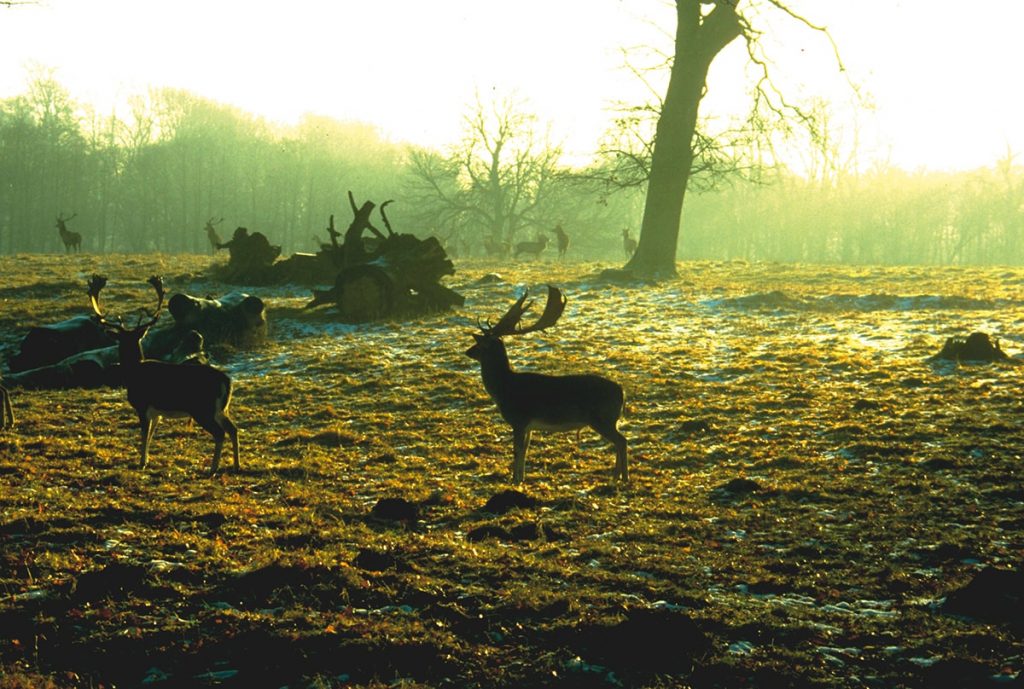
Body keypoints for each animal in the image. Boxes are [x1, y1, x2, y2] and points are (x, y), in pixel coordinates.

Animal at [88, 274, 239, 472]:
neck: (132, 372)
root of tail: (226, 381)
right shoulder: (156, 412)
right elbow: (151, 434)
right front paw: (147, 459)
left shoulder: (142, 404)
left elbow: (144, 433)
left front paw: (142, 462)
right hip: (220, 409)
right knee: (233, 429)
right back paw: (236, 465)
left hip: (202, 408)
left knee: (220, 433)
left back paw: (213, 468)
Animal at [466, 284, 626, 483]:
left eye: (480, 345)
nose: (467, 351)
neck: (502, 388)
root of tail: (621, 391)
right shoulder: (528, 426)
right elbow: (525, 450)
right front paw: (521, 477)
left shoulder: (518, 419)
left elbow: (517, 451)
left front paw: (515, 480)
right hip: (610, 419)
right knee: (620, 441)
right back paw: (616, 476)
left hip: (602, 417)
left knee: (622, 441)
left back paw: (624, 477)